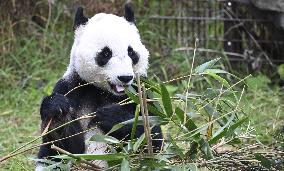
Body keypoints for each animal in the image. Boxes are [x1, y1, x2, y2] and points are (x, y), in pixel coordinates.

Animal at [36, 3, 162, 171]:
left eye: (131, 52)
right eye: (106, 53)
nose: (125, 77)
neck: (104, 92)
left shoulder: (140, 93)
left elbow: (152, 138)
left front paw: (111, 115)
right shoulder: (72, 88)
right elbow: (65, 147)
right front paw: (57, 110)